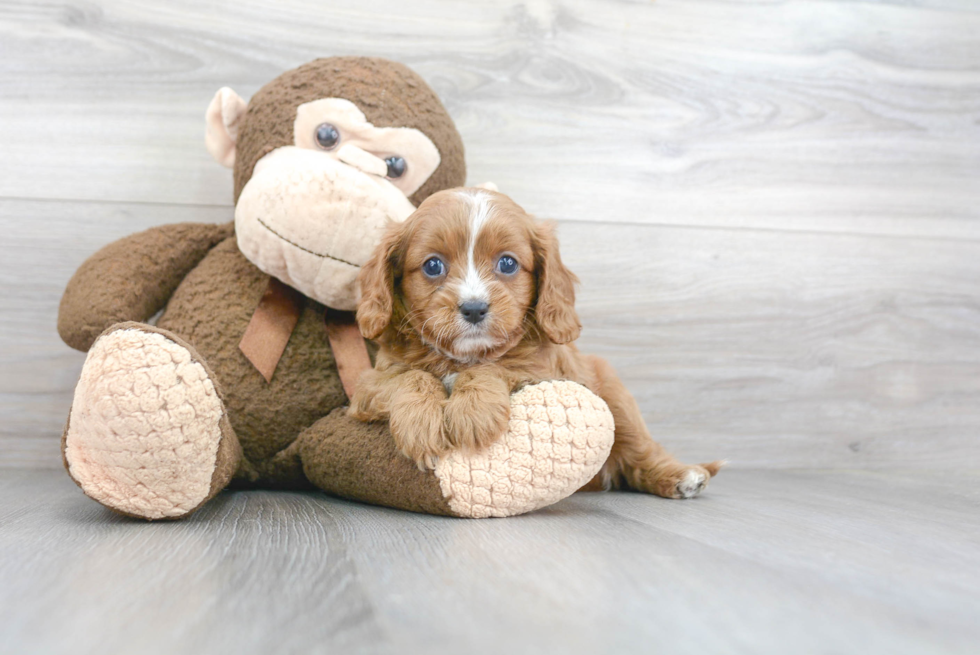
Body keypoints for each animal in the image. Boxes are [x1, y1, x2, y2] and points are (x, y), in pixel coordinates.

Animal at [350, 187, 720, 500]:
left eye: (507, 263)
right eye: (432, 265)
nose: (474, 308)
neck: (462, 357)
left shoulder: (546, 372)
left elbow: (496, 366)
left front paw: (474, 411)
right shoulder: (368, 386)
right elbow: (410, 376)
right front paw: (421, 424)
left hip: (614, 393)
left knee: (639, 452)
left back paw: (681, 476)